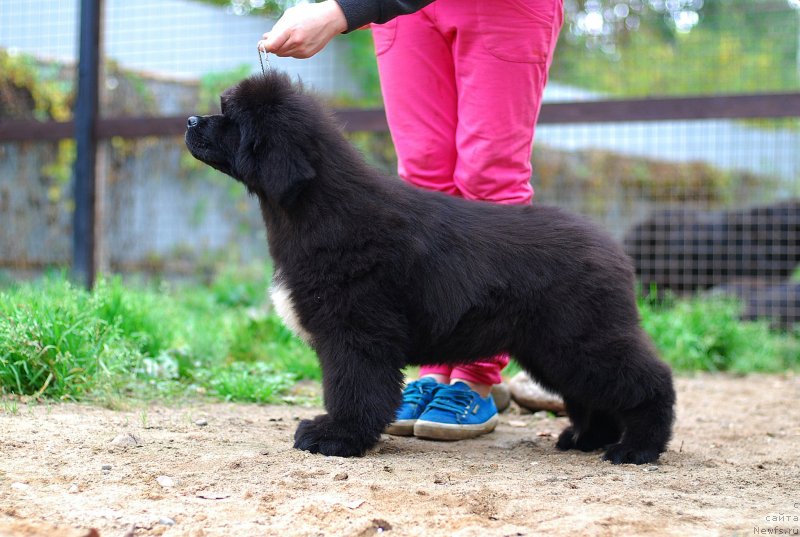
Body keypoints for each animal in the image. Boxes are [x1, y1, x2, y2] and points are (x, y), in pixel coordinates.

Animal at [183, 73, 676, 462]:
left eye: (231, 119)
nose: (189, 121)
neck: (316, 208)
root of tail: (614, 250)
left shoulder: (355, 333)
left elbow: (352, 389)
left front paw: (335, 437)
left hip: (579, 338)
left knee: (650, 381)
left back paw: (637, 448)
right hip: (552, 348)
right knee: (593, 393)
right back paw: (587, 438)